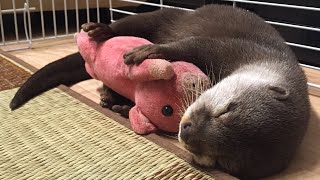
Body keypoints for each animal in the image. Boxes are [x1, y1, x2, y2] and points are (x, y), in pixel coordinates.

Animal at [9, 4, 310, 179]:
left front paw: (125, 109)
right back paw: (99, 31)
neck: (266, 59)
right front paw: (149, 52)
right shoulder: (230, 48)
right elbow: (188, 46)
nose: (186, 131)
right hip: (159, 16)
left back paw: (110, 96)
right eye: (226, 110)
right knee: (127, 25)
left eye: (222, 161)